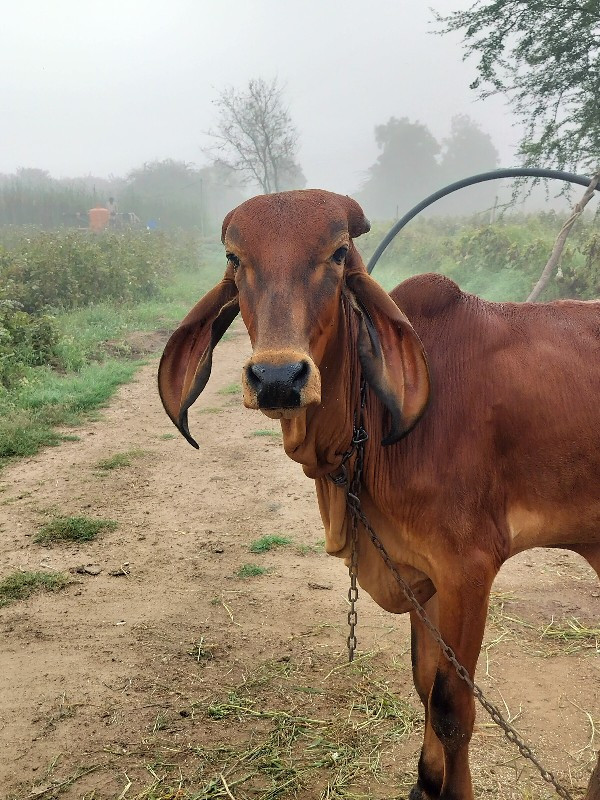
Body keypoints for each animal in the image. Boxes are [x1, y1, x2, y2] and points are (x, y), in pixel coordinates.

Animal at [159, 191, 600, 796]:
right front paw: (426, 782)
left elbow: (451, 706)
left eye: (339, 253)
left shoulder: (468, 568)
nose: (278, 378)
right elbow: (424, 683)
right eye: (234, 258)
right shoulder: (421, 573)